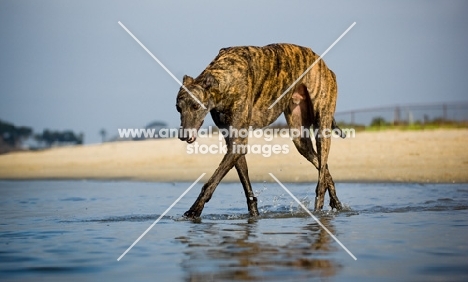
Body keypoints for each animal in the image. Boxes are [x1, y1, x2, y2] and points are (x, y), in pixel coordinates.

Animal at [176, 43, 344, 218]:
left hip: (322, 126)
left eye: (196, 106)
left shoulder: (237, 142)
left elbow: (211, 182)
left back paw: (319, 210)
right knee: (324, 168)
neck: (225, 77)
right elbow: (246, 184)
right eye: (178, 108)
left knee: (321, 179)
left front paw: (194, 210)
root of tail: (325, 66)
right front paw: (254, 213)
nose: (183, 136)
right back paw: (336, 203)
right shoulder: (234, 142)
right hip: (300, 138)